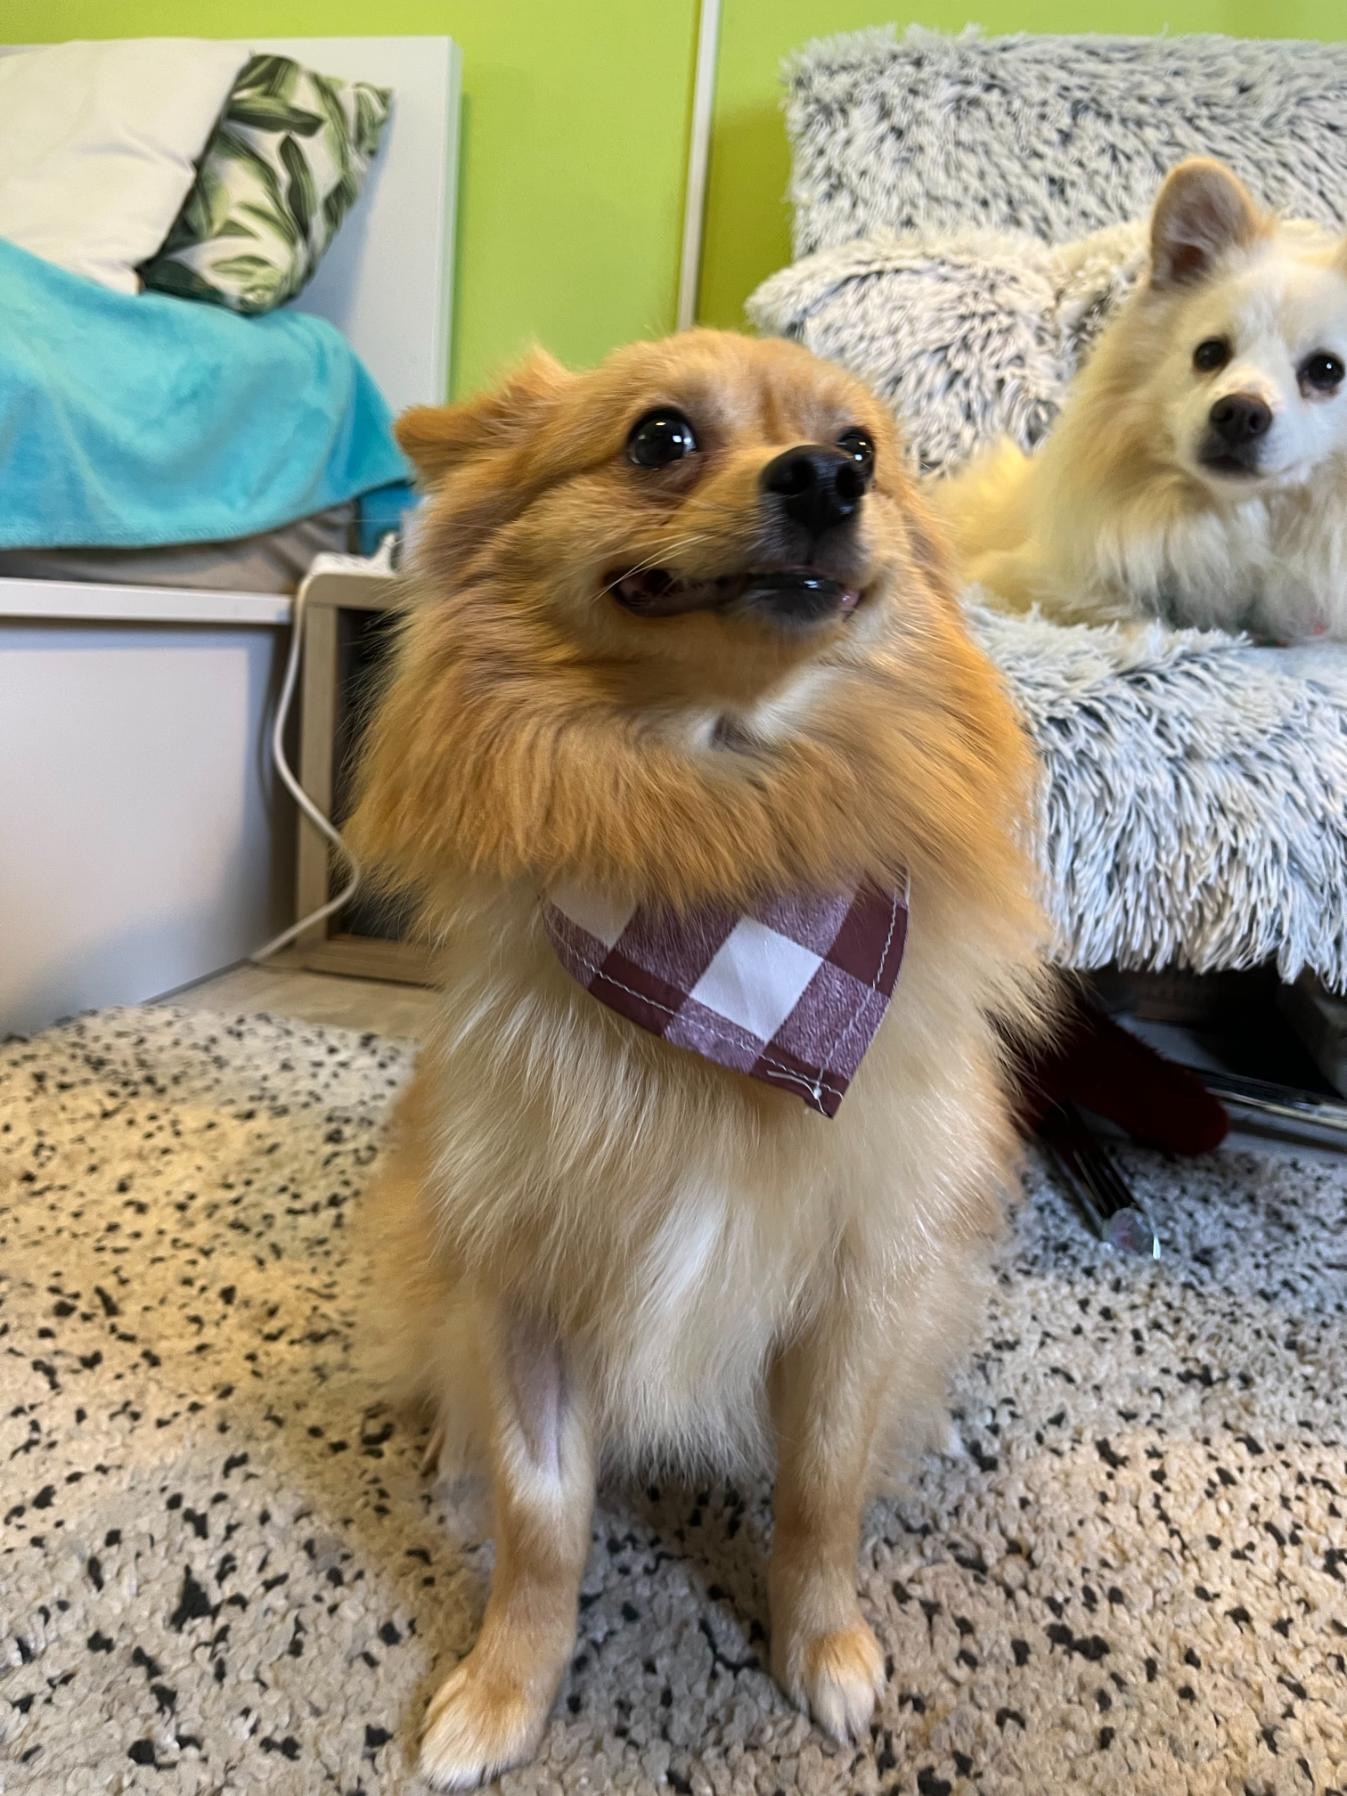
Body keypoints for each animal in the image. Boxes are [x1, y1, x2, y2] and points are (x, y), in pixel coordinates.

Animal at [348, 329, 1049, 1789]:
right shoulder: (527, 1282)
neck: (725, 861)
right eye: (659, 439)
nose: (824, 479)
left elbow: (822, 1493)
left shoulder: (857, 1279)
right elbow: (542, 1520)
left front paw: (822, 1646)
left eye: (862, 450)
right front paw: (507, 1689)